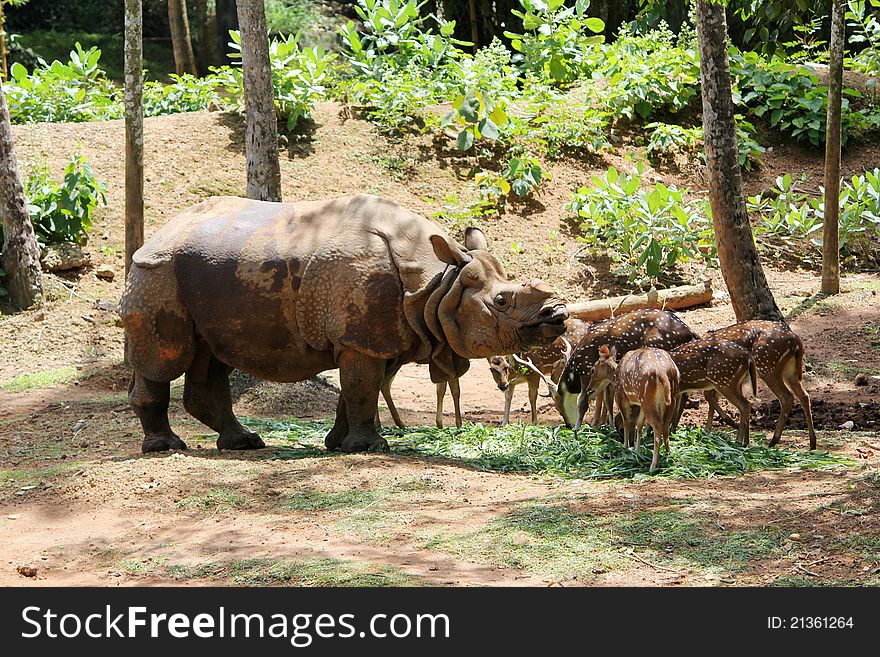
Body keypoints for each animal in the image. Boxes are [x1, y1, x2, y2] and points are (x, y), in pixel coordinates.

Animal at [700, 320, 820, 448]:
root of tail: (795, 339)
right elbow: (712, 396)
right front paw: (708, 430)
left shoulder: (721, 379)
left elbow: (709, 396)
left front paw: (726, 426)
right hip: (789, 371)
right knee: (804, 396)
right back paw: (812, 443)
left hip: (767, 367)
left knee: (787, 397)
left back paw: (773, 440)